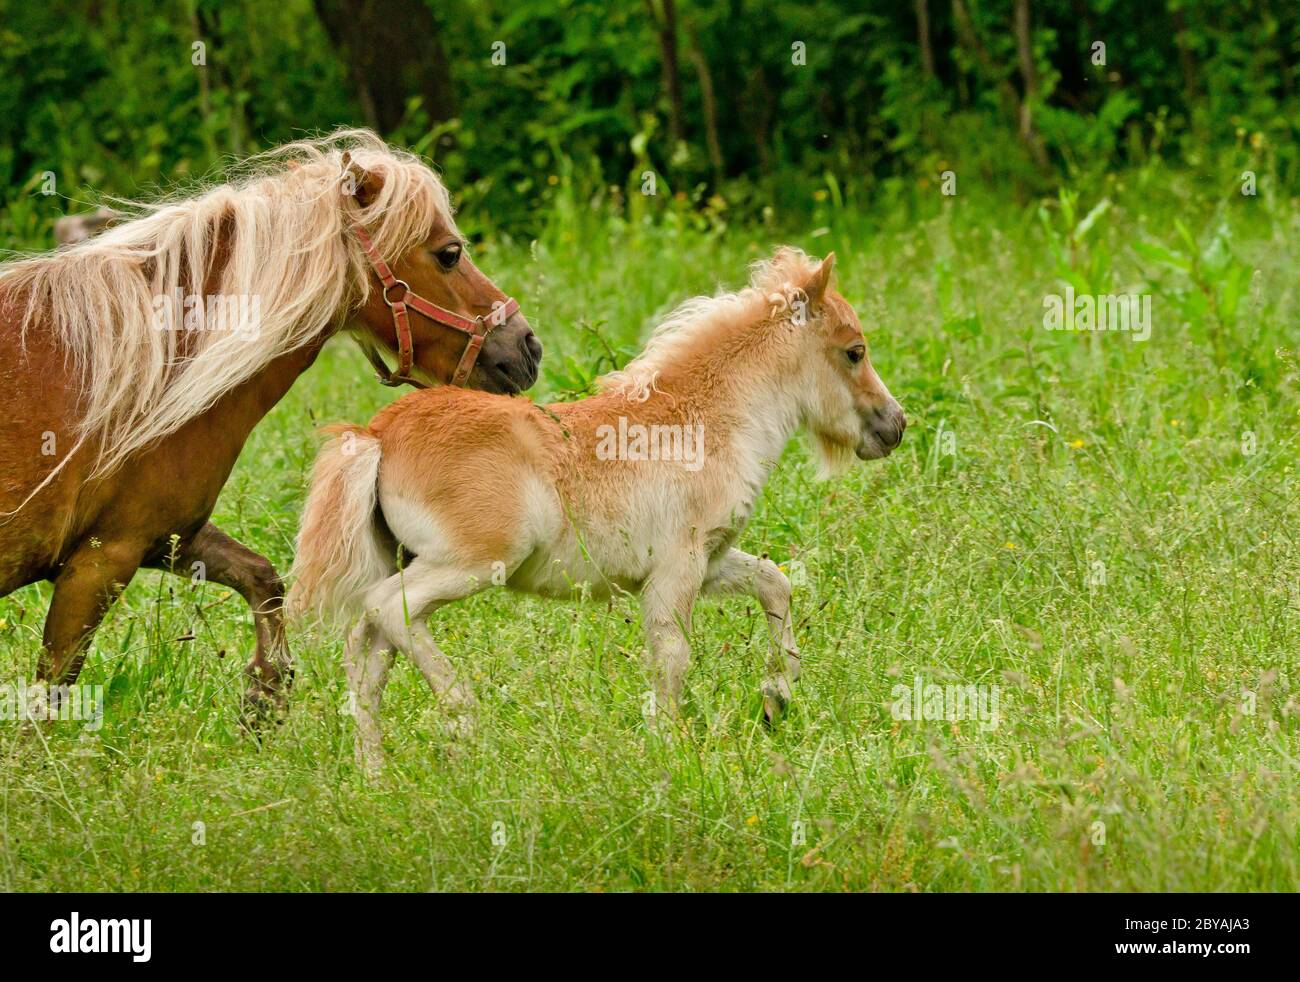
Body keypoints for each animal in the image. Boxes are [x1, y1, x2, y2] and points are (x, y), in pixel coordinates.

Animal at [0, 129, 542, 716]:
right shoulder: (101, 561)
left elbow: (263, 578)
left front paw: (264, 694)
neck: (132, 375)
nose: (527, 348)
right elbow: (46, 704)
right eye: (449, 253)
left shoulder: (164, 537)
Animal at [286, 246, 905, 769]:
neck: (705, 420)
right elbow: (672, 655)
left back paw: (374, 774)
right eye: (854, 352)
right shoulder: (678, 568)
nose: (894, 426)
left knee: (366, 653)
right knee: (389, 610)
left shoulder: (708, 561)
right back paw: (461, 711)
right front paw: (669, 749)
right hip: (475, 562)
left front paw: (777, 697)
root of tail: (377, 434)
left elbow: (775, 583)